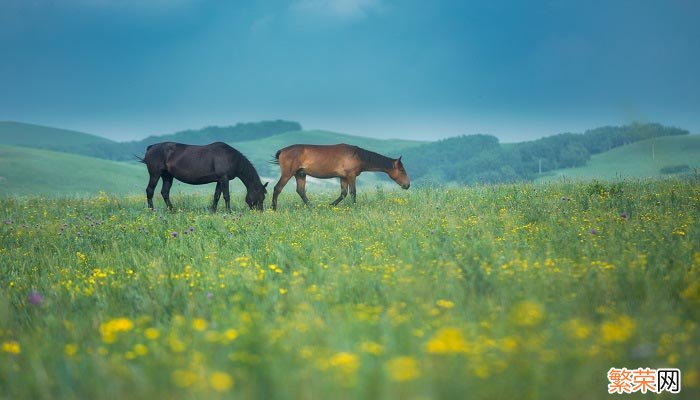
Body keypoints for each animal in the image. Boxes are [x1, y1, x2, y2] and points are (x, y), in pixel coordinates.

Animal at [139, 141, 268, 211]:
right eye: (261, 196)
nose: (259, 212)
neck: (231, 157)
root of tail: (151, 147)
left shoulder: (220, 180)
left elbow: (217, 196)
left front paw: (213, 211)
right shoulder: (224, 178)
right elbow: (226, 196)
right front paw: (229, 211)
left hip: (167, 176)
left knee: (165, 192)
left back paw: (172, 210)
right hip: (155, 174)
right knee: (150, 190)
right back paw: (151, 210)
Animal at [270, 145, 410, 212]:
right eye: (402, 170)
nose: (407, 185)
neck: (357, 155)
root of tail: (282, 151)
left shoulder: (343, 177)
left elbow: (343, 193)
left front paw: (330, 205)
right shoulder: (351, 176)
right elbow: (353, 192)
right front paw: (354, 207)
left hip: (300, 174)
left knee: (301, 191)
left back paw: (312, 207)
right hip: (288, 173)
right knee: (277, 188)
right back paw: (273, 208)